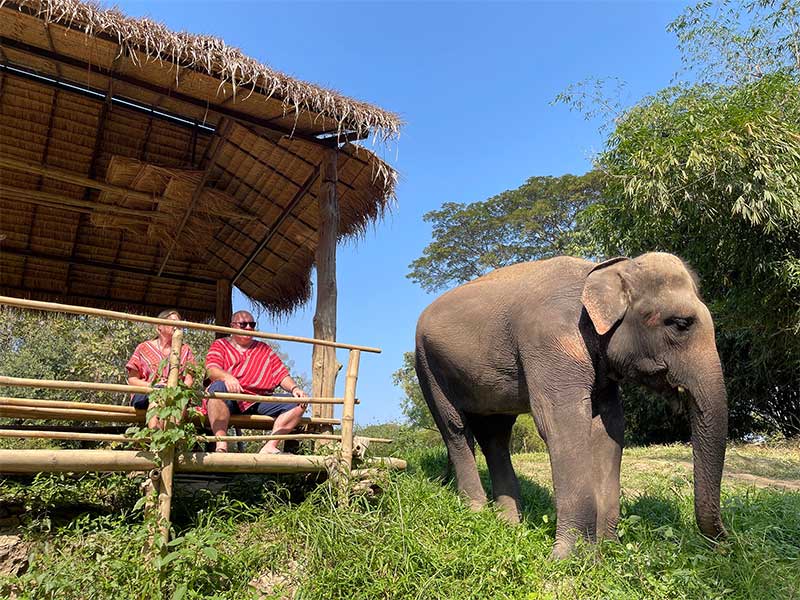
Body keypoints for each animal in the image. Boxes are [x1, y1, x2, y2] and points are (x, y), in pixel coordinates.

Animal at [414, 253, 728, 558]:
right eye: (681, 324)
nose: (724, 542)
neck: (605, 269)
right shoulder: (551, 343)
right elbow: (561, 423)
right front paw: (569, 558)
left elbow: (610, 428)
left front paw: (606, 551)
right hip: (428, 366)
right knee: (456, 429)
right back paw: (477, 512)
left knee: (495, 436)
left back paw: (508, 525)